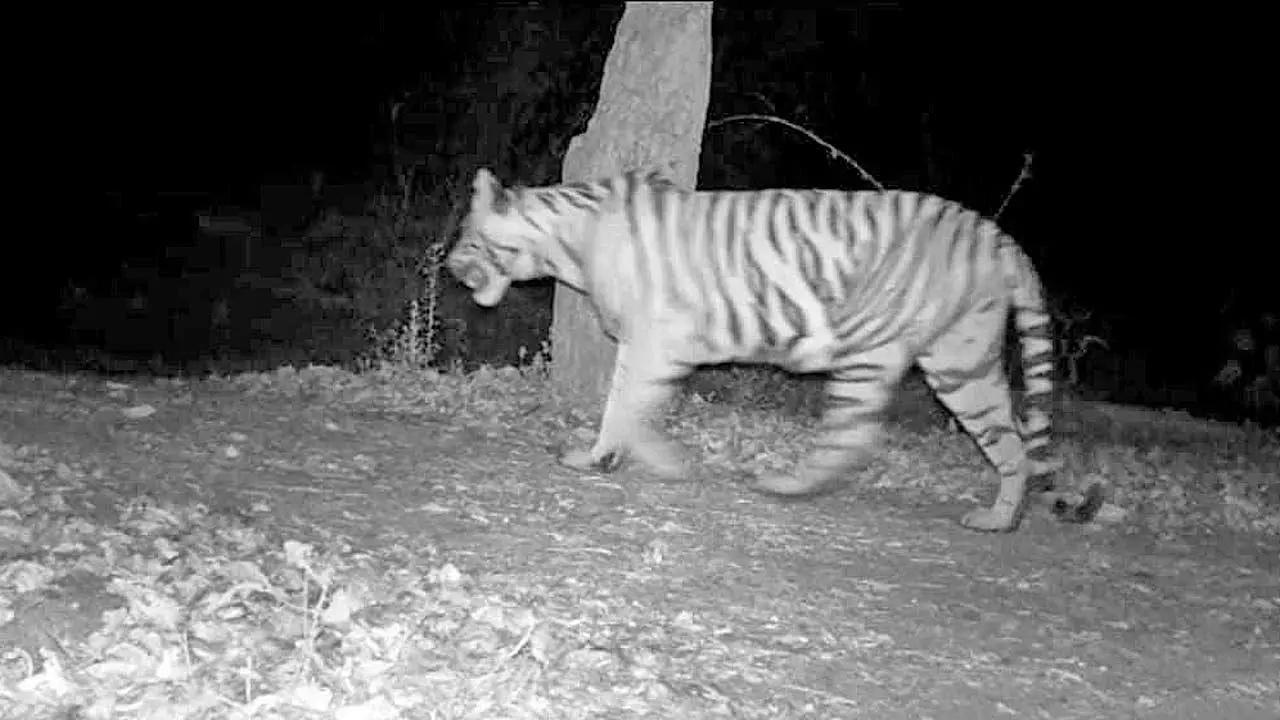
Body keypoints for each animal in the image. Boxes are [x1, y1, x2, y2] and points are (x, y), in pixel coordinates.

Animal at [446, 167, 1104, 532]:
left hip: (883, 347)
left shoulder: (657, 341)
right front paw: (629, 458)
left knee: (855, 433)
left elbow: (627, 407)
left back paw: (785, 484)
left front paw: (623, 459)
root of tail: (996, 235)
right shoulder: (648, 344)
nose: (448, 266)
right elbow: (628, 407)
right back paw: (1000, 519)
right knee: (1011, 440)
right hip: (964, 356)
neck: (566, 242)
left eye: (469, 237)